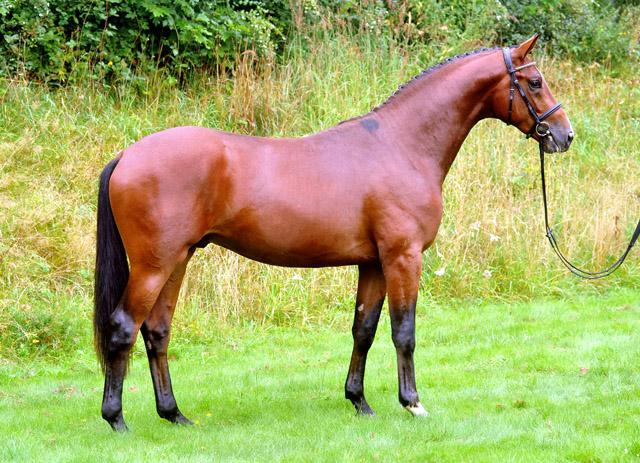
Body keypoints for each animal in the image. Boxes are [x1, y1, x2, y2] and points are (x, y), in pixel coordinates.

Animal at [94, 35, 576, 432]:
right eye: (534, 82)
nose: (565, 135)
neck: (401, 145)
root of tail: (127, 156)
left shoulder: (373, 263)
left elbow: (364, 329)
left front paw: (359, 401)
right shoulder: (404, 256)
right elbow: (404, 330)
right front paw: (412, 403)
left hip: (178, 259)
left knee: (157, 331)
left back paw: (173, 414)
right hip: (154, 265)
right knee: (123, 327)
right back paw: (116, 420)